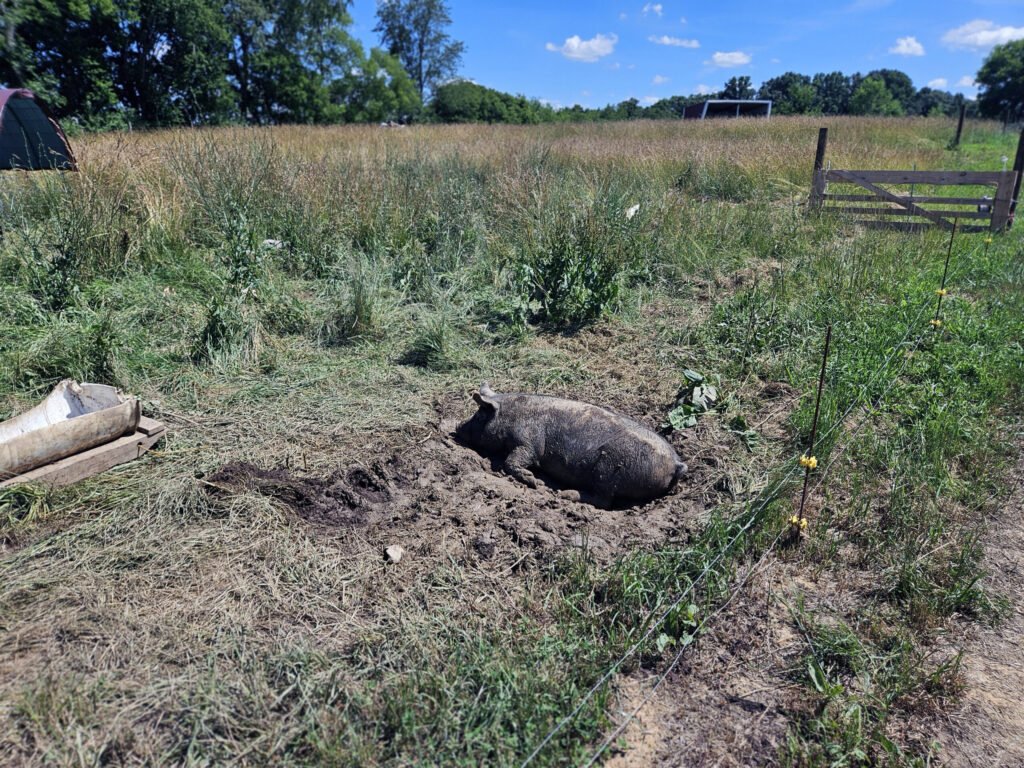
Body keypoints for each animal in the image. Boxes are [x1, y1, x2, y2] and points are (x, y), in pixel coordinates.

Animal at [455, 383, 687, 506]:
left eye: (479, 416)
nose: (457, 427)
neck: (511, 415)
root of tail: (677, 464)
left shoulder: (529, 442)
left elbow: (515, 460)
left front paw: (534, 482)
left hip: (608, 470)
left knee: (603, 501)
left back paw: (564, 494)